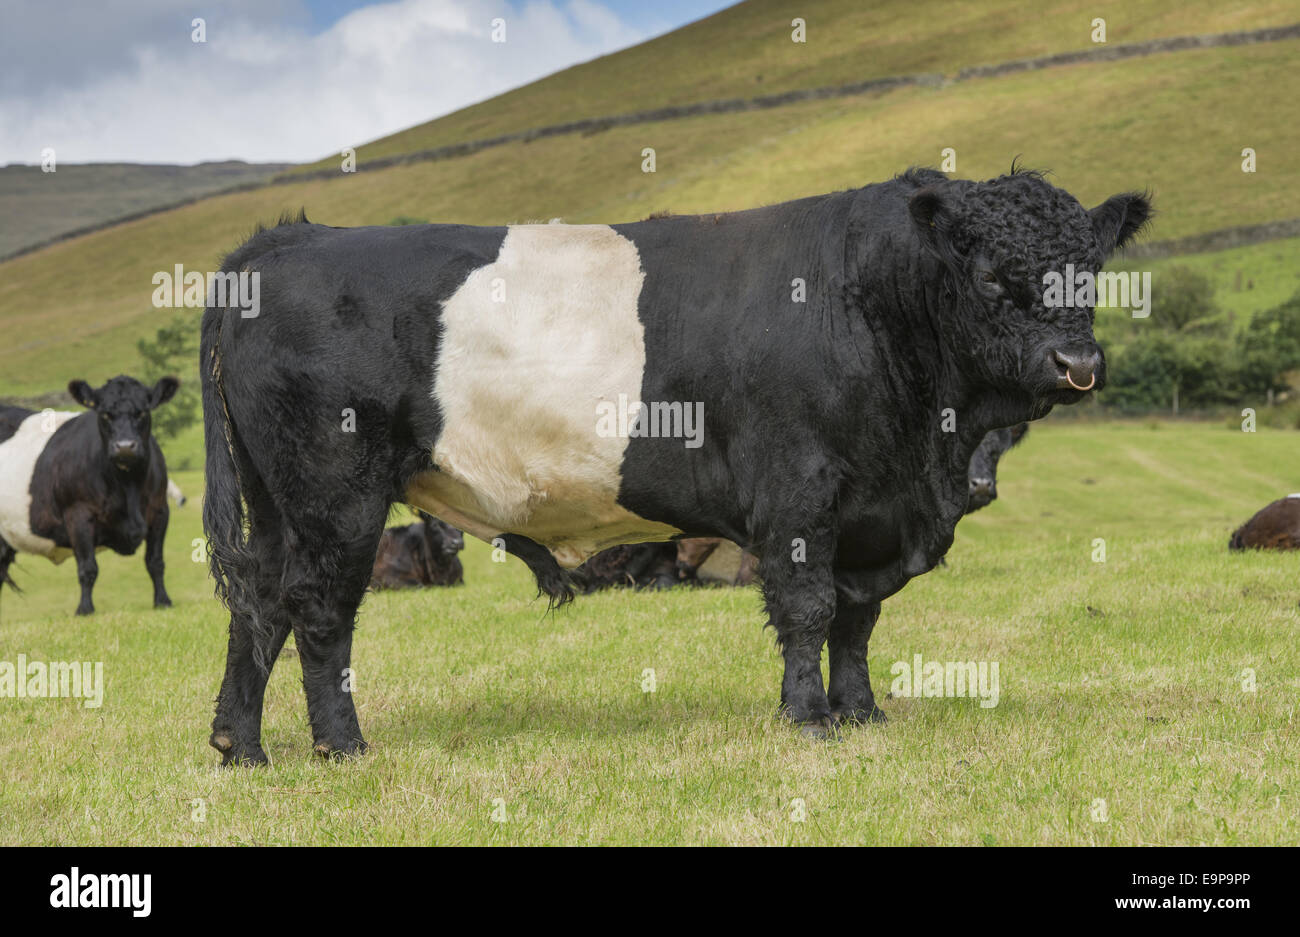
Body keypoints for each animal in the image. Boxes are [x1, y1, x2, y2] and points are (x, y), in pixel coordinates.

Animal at [0, 376, 179, 615]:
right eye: (105, 414)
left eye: (142, 412)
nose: (125, 447)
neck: (128, 486)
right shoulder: (78, 514)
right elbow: (88, 568)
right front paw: (85, 609)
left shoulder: (160, 511)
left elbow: (155, 561)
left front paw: (162, 601)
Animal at [202, 168, 1149, 764]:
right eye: (991, 275)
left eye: (1091, 270)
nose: (1077, 364)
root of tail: (283, 243)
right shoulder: (799, 493)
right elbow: (809, 609)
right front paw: (810, 720)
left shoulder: (871, 513)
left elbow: (857, 619)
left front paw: (864, 711)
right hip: (334, 493)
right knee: (319, 609)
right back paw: (341, 745)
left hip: (278, 499)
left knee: (260, 602)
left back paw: (240, 747)